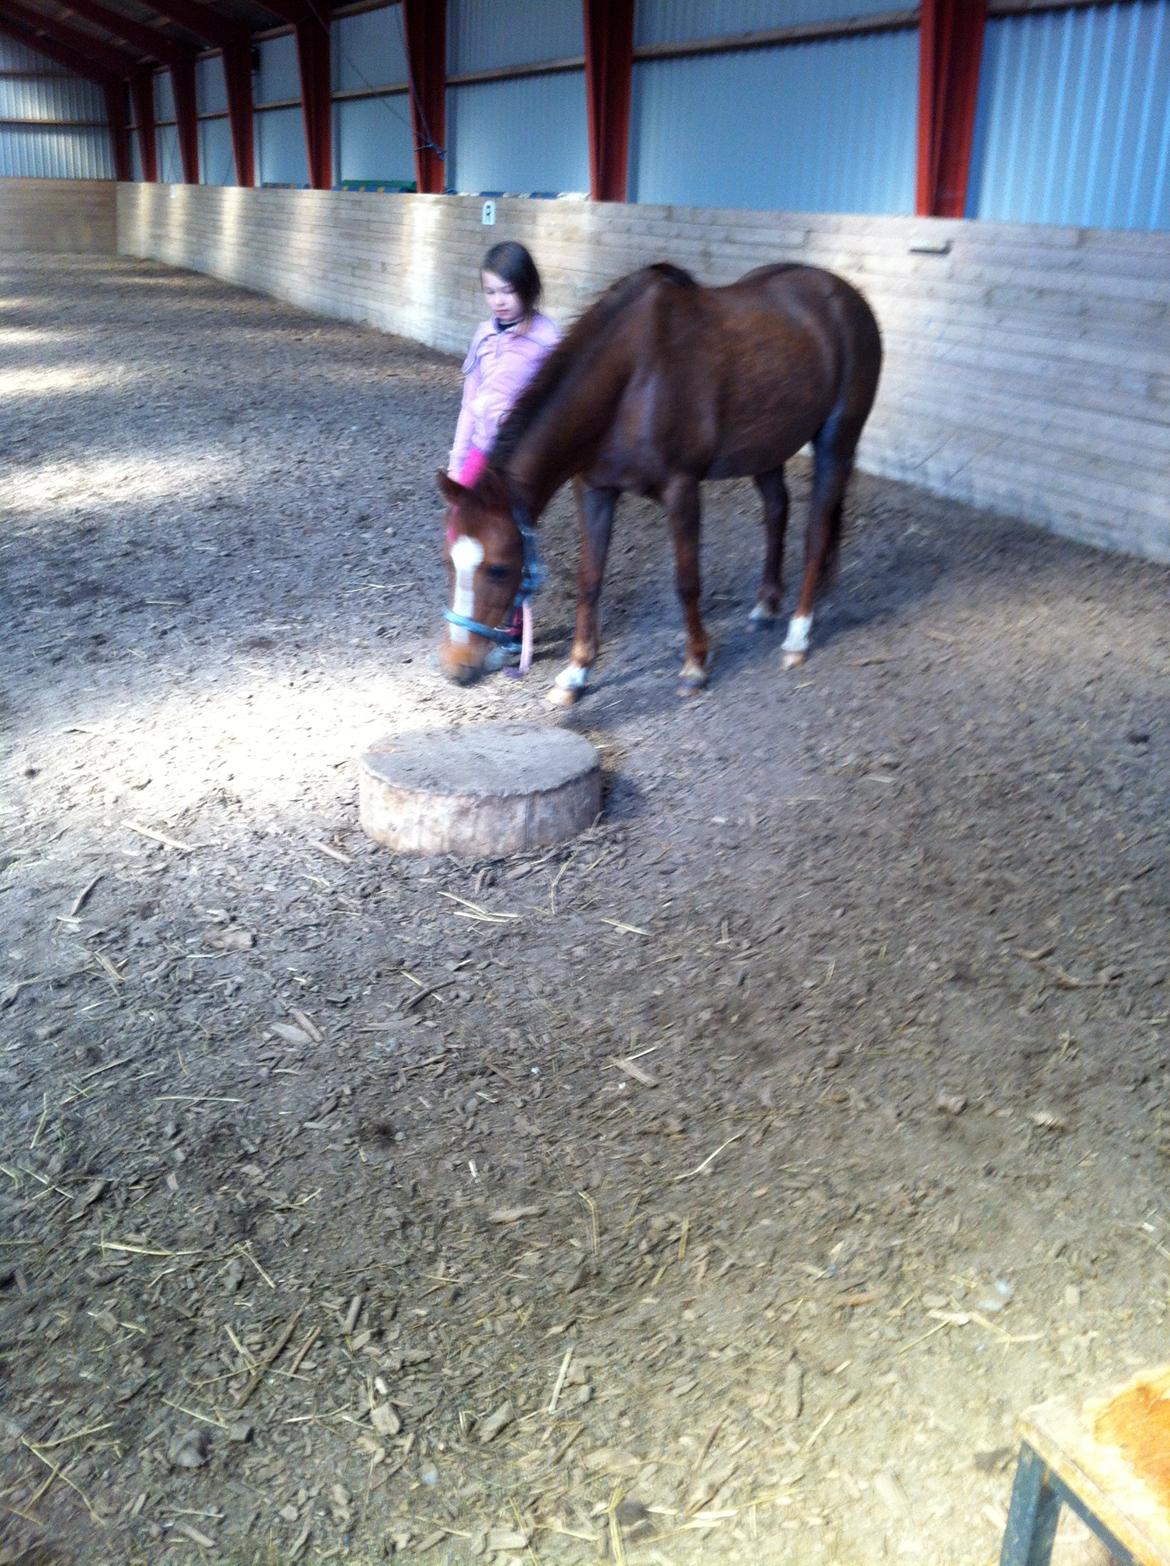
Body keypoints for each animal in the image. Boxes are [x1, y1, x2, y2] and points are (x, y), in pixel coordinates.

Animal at [438, 261, 882, 705]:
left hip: (836, 440)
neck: (633, 379)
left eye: (498, 569)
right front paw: (576, 673)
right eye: (448, 561)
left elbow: (687, 581)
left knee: (816, 533)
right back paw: (766, 607)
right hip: (767, 447)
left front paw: (695, 666)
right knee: (777, 511)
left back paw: (797, 636)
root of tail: (848, 296)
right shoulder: (595, 490)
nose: (455, 667)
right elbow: (590, 580)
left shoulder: (681, 489)